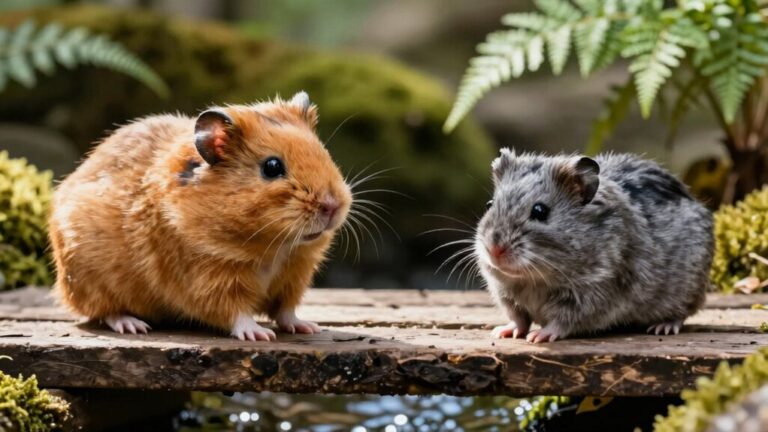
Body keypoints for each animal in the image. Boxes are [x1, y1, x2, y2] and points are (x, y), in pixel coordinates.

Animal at [48, 92, 352, 341]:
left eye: (323, 152)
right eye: (272, 167)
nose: (332, 206)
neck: (275, 248)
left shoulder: (293, 277)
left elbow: (286, 311)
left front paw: (309, 327)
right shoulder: (208, 278)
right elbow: (235, 313)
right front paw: (260, 335)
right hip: (92, 281)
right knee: (104, 311)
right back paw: (133, 325)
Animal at [475, 149, 713, 343]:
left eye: (540, 211)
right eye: (489, 205)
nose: (494, 250)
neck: (534, 279)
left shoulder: (591, 296)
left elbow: (561, 322)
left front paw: (538, 336)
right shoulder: (506, 296)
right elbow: (519, 319)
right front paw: (501, 332)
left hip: (687, 292)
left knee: (681, 314)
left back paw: (663, 327)